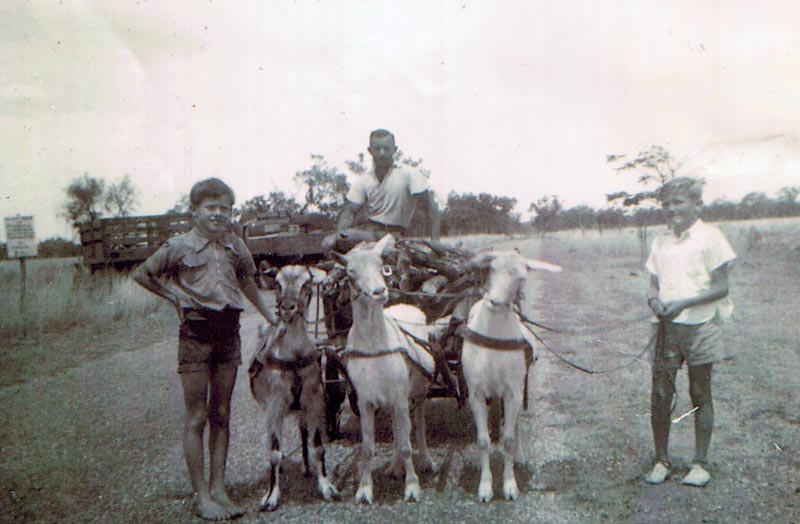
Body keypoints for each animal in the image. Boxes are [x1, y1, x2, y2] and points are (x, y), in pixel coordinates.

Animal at [250, 264, 338, 510]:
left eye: (306, 283)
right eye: (278, 284)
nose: (288, 307)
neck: (293, 356)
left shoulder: (313, 399)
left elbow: (318, 446)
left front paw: (326, 486)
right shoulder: (275, 405)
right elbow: (274, 451)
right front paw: (271, 496)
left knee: (302, 431)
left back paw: (307, 467)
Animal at [332, 236, 434, 504]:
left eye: (382, 267)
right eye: (350, 273)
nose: (379, 292)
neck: (375, 346)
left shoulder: (400, 395)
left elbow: (407, 444)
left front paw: (412, 487)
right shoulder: (366, 400)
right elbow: (368, 447)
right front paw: (364, 490)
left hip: (418, 391)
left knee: (418, 424)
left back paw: (425, 461)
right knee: (399, 429)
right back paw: (394, 467)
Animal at [460, 251, 564, 504]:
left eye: (522, 277)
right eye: (491, 269)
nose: (495, 302)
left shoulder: (513, 392)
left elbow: (507, 440)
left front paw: (509, 486)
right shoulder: (476, 394)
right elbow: (483, 441)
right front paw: (485, 488)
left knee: (514, 424)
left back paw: (520, 456)